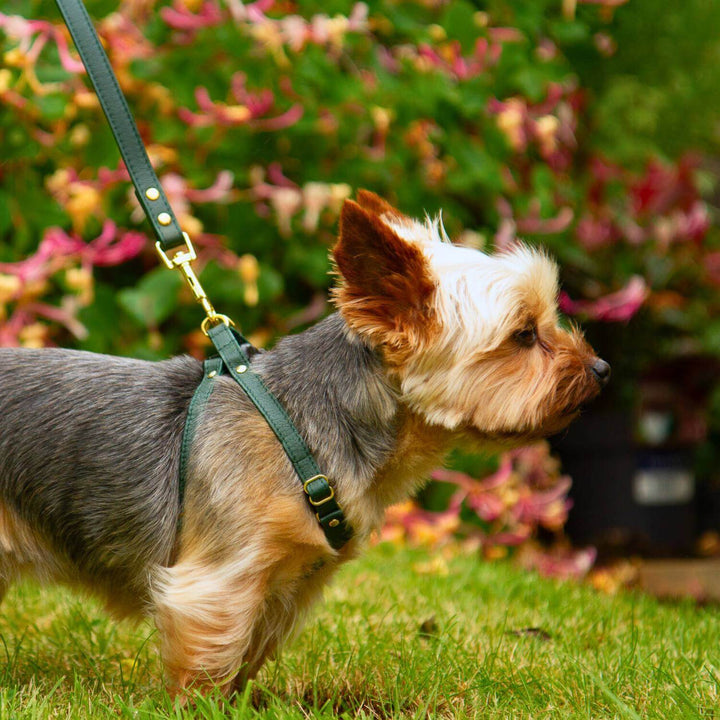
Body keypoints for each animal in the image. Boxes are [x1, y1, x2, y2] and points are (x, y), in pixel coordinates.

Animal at [0, 190, 608, 692]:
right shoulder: (218, 583)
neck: (302, 430)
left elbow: (245, 659)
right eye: (524, 335)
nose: (602, 369)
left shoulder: (287, 587)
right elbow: (208, 663)